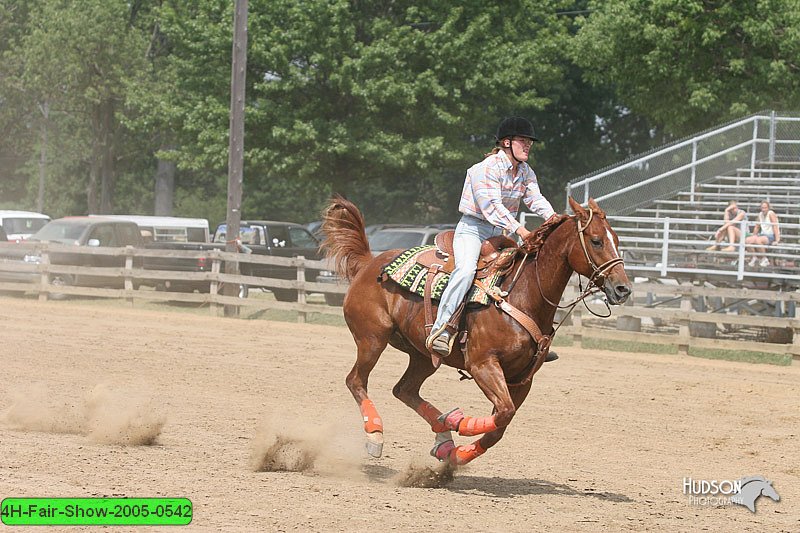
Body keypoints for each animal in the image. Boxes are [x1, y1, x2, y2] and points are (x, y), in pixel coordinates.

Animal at [318, 195, 632, 466]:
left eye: (617, 241)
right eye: (596, 240)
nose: (622, 289)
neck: (521, 293)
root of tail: (369, 263)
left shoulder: (522, 379)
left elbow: (500, 426)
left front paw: (457, 453)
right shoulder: (483, 365)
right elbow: (503, 413)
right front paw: (463, 424)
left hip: (422, 355)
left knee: (404, 390)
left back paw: (444, 434)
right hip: (372, 339)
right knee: (356, 381)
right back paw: (377, 434)